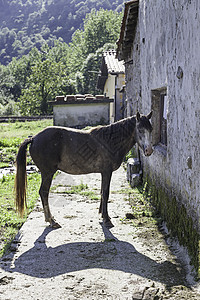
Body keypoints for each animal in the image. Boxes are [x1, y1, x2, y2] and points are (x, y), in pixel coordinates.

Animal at [14, 112, 153, 227]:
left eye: (151, 129)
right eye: (140, 130)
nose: (149, 150)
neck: (110, 140)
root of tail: (33, 138)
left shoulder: (103, 173)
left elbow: (102, 192)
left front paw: (102, 214)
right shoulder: (107, 172)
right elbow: (106, 193)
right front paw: (106, 219)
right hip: (47, 173)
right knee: (43, 192)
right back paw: (51, 221)